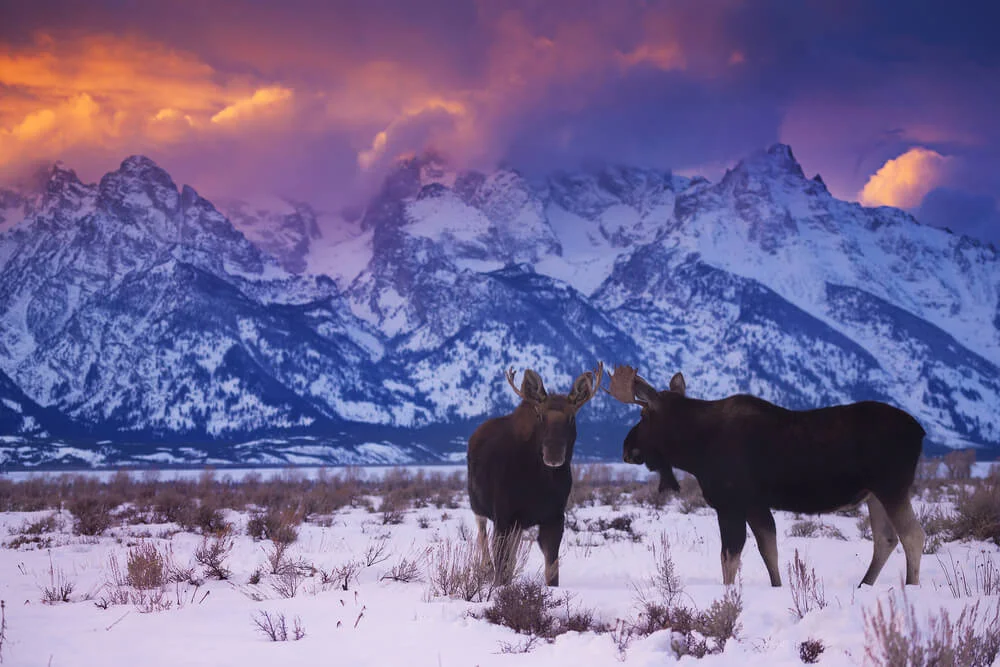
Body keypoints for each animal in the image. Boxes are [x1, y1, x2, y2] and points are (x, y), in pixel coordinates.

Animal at [466, 362, 600, 588]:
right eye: (540, 415)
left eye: (571, 417)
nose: (553, 454)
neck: (540, 482)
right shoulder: (503, 515)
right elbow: (500, 565)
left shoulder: (554, 517)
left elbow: (551, 572)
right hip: (479, 507)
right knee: (483, 540)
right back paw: (484, 568)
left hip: (518, 525)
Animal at [604, 366, 924, 588]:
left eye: (643, 415)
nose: (626, 448)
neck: (695, 449)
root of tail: (920, 431)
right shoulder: (756, 505)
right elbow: (769, 551)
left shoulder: (730, 503)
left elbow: (729, 558)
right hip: (875, 493)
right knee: (886, 539)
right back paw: (863, 586)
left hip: (892, 486)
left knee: (912, 535)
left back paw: (911, 587)